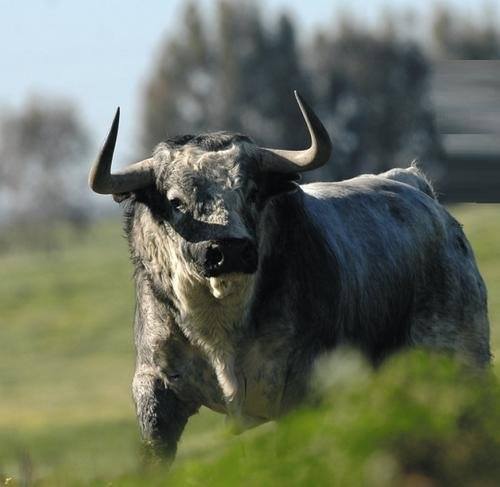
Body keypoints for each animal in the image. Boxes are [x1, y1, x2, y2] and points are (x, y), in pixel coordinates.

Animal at [89, 90, 488, 462]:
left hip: (459, 360)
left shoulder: (302, 391)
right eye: (176, 201)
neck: (221, 325)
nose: (228, 250)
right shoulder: (155, 393)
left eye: (251, 192)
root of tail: (416, 186)